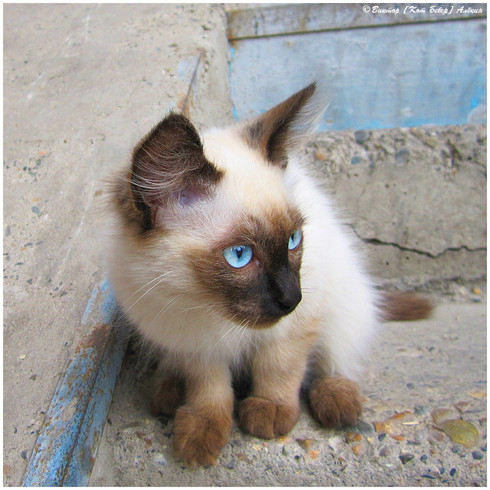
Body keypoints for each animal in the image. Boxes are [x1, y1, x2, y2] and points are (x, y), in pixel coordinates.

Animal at [107, 82, 432, 467]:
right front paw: (200, 438)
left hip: (343, 302)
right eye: (240, 256)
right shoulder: (194, 346)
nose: (292, 298)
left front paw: (269, 414)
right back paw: (167, 396)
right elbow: (209, 391)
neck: (208, 307)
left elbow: (279, 369)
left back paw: (337, 402)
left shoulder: (294, 328)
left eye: (293, 240)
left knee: (339, 359)